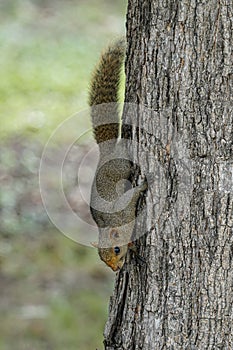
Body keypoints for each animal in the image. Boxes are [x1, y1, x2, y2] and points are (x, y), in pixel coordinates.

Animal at [88, 39, 147, 272]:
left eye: (116, 249)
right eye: (101, 258)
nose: (116, 269)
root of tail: (107, 149)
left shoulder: (125, 208)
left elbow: (134, 194)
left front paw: (144, 185)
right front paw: (134, 248)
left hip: (120, 164)